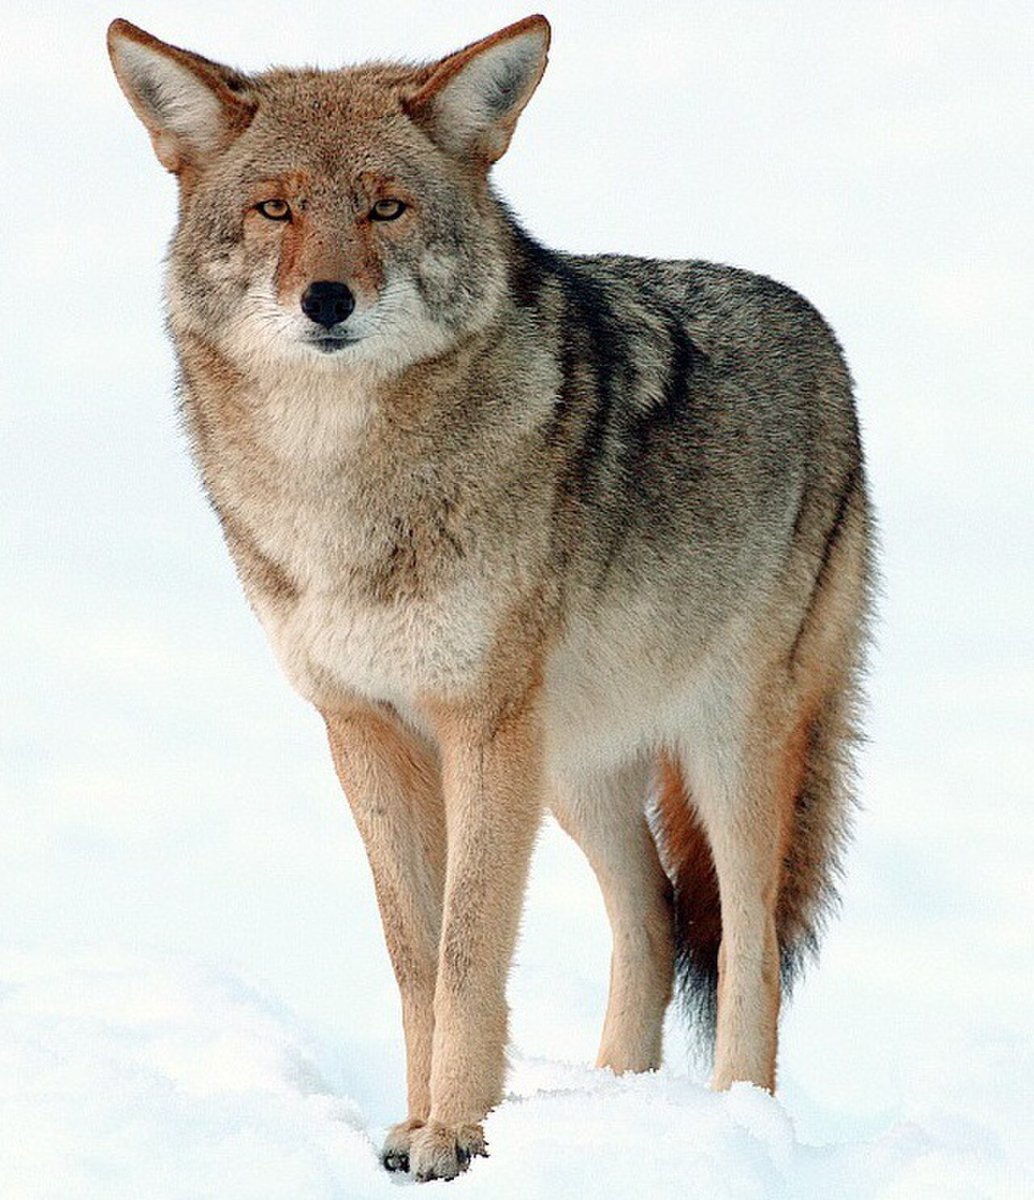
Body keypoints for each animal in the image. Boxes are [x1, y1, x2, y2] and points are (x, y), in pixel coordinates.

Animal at [107, 13, 873, 1181]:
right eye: (276, 208)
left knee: (748, 948)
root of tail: (825, 342)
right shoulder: (365, 729)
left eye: (386, 206)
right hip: (570, 768)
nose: (325, 301)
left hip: (720, 751)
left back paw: (738, 1126)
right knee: (653, 917)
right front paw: (420, 1122)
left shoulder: (479, 726)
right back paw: (617, 1106)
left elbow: (469, 955)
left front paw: (456, 1136)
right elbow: (415, 958)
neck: (341, 486)